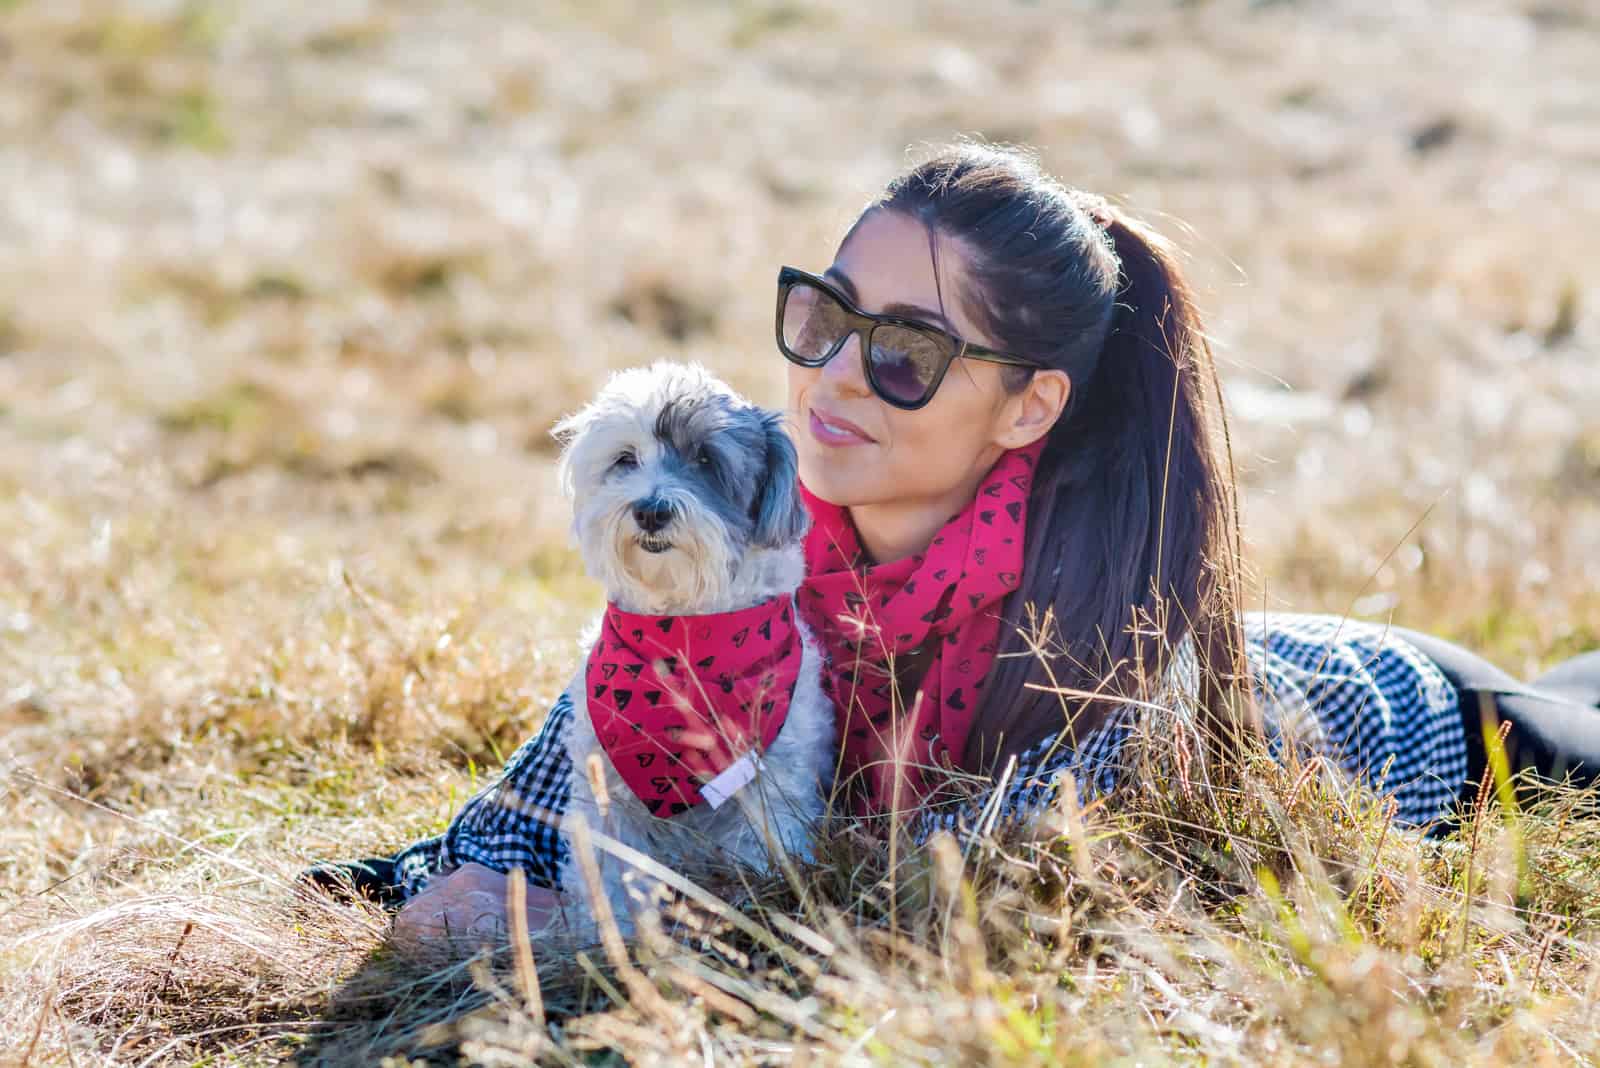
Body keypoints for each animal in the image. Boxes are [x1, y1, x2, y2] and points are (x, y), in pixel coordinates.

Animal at [547, 358, 832, 927]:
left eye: (705, 458)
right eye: (626, 459)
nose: (651, 509)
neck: (682, 631)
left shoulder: (772, 789)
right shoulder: (607, 794)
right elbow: (611, 876)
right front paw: (609, 933)